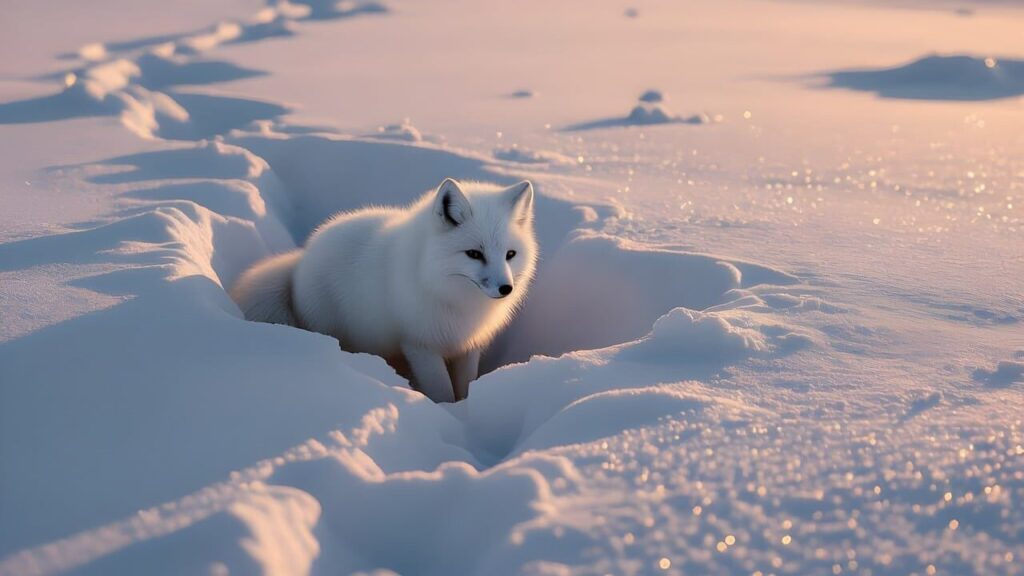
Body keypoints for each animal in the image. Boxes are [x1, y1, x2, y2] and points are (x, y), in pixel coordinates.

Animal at [230, 178, 538, 403]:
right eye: (474, 254)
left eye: (510, 254)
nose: (506, 288)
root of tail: (301, 258)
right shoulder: (420, 345)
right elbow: (442, 393)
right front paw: (451, 414)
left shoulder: (468, 346)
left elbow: (466, 384)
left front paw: (467, 407)